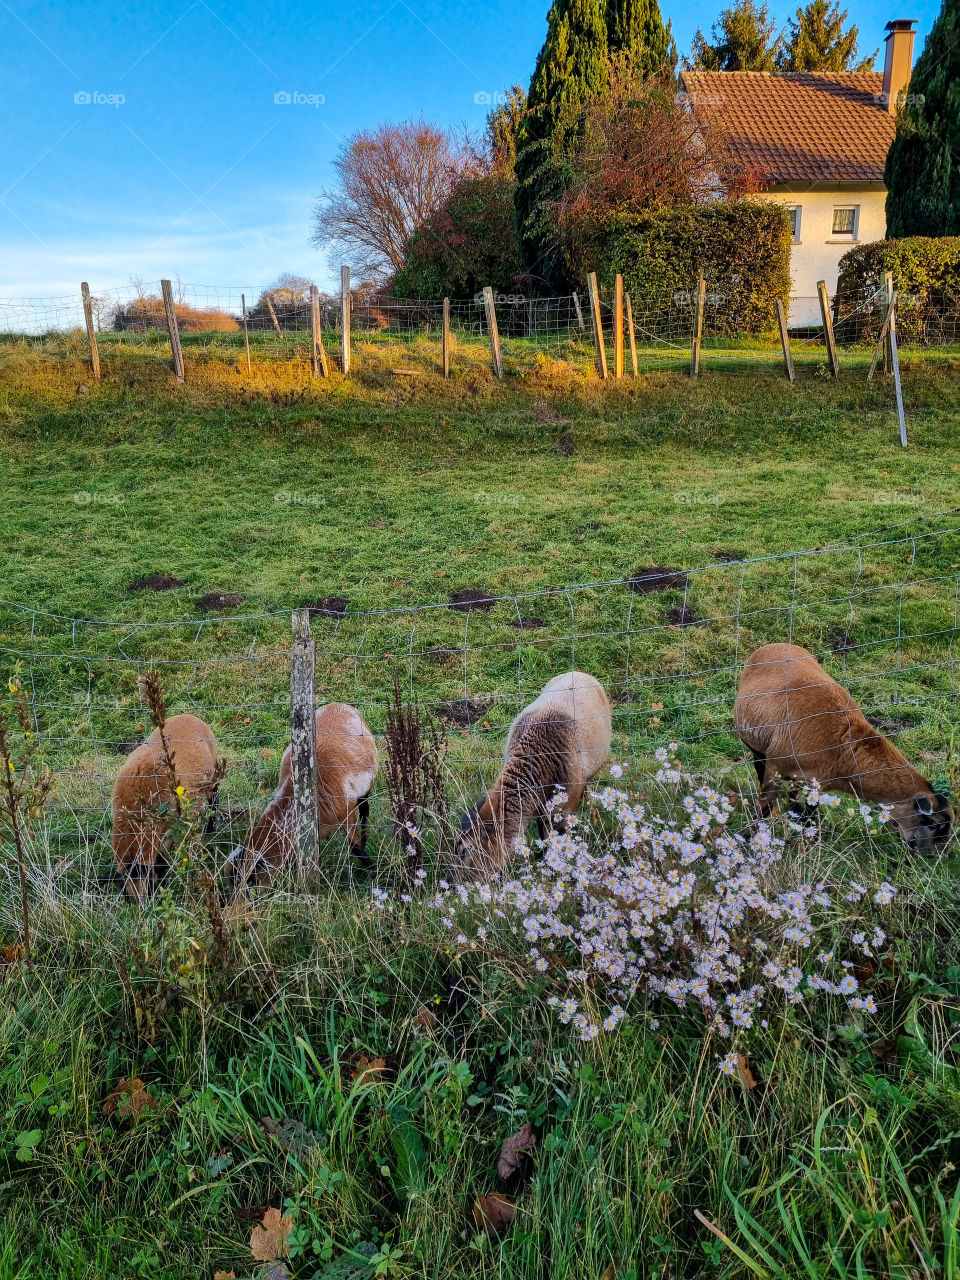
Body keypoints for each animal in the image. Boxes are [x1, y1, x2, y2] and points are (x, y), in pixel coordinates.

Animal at [112, 713, 222, 901]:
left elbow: (162, 860)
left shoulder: (170, 829)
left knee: (213, 799)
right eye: (126, 895)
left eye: (150, 886)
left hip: (212, 775)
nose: (145, 906)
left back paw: (210, 828)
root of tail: (189, 715)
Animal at [231, 702, 378, 888]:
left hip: (365, 788)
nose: (235, 899)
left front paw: (373, 872)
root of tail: (339, 704)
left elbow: (355, 846)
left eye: (251, 880)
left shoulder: (346, 814)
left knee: (365, 812)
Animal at [455, 671, 612, 879]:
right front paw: (542, 859)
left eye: (465, 850)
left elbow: (558, 837)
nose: (452, 883)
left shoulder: (564, 806)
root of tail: (579, 673)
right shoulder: (539, 805)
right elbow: (543, 834)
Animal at [734, 643, 952, 850]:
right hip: (758, 750)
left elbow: (810, 815)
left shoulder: (815, 785)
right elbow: (765, 805)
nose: (935, 854)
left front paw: (811, 841)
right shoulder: (775, 768)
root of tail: (775, 645)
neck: (844, 751)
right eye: (934, 823)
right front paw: (751, 838)